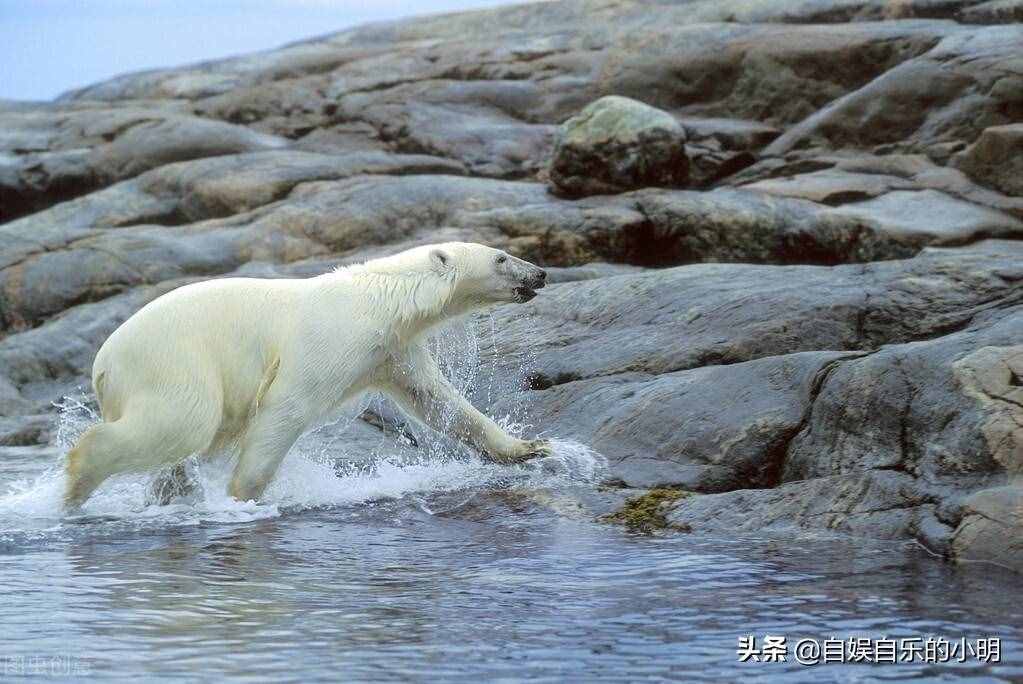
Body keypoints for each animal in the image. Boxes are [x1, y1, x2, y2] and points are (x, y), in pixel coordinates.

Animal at [63, 242, 552, 509]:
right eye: (501, 258)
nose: (541, 273)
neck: (381, 299)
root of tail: (102, 365)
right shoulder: (330, 340)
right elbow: (286, 407)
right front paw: (241, 497)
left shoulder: (391, 350)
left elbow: (435, 399)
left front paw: (529, 448)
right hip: (172, 361)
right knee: (184, 422)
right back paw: (78, 481)